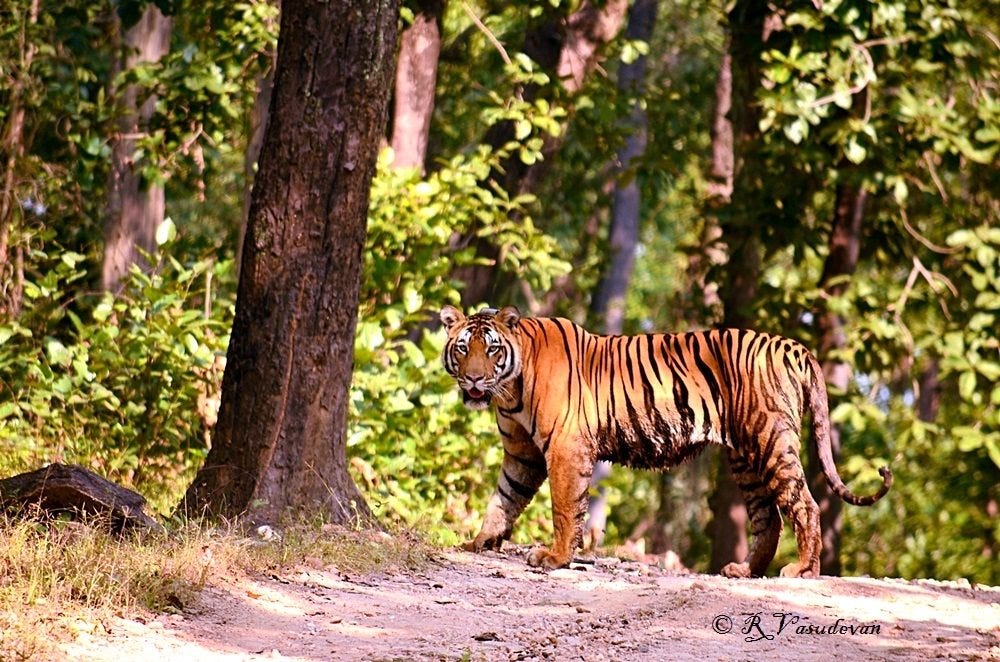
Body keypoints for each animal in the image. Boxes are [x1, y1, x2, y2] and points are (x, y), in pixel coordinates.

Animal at [442, 306, 896, 580]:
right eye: (463, 348)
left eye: (492, 349)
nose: (475, 380)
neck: (510, 391)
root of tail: (794, 345)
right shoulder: (522, 454)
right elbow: (503, 499)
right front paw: (478, 543)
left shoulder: (565, 449)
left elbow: (564, 508)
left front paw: (555, 558)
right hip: (746, 457)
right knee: (769, 517)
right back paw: (744, 571)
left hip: (771, 439)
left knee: (805, 505)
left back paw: (803, 570)